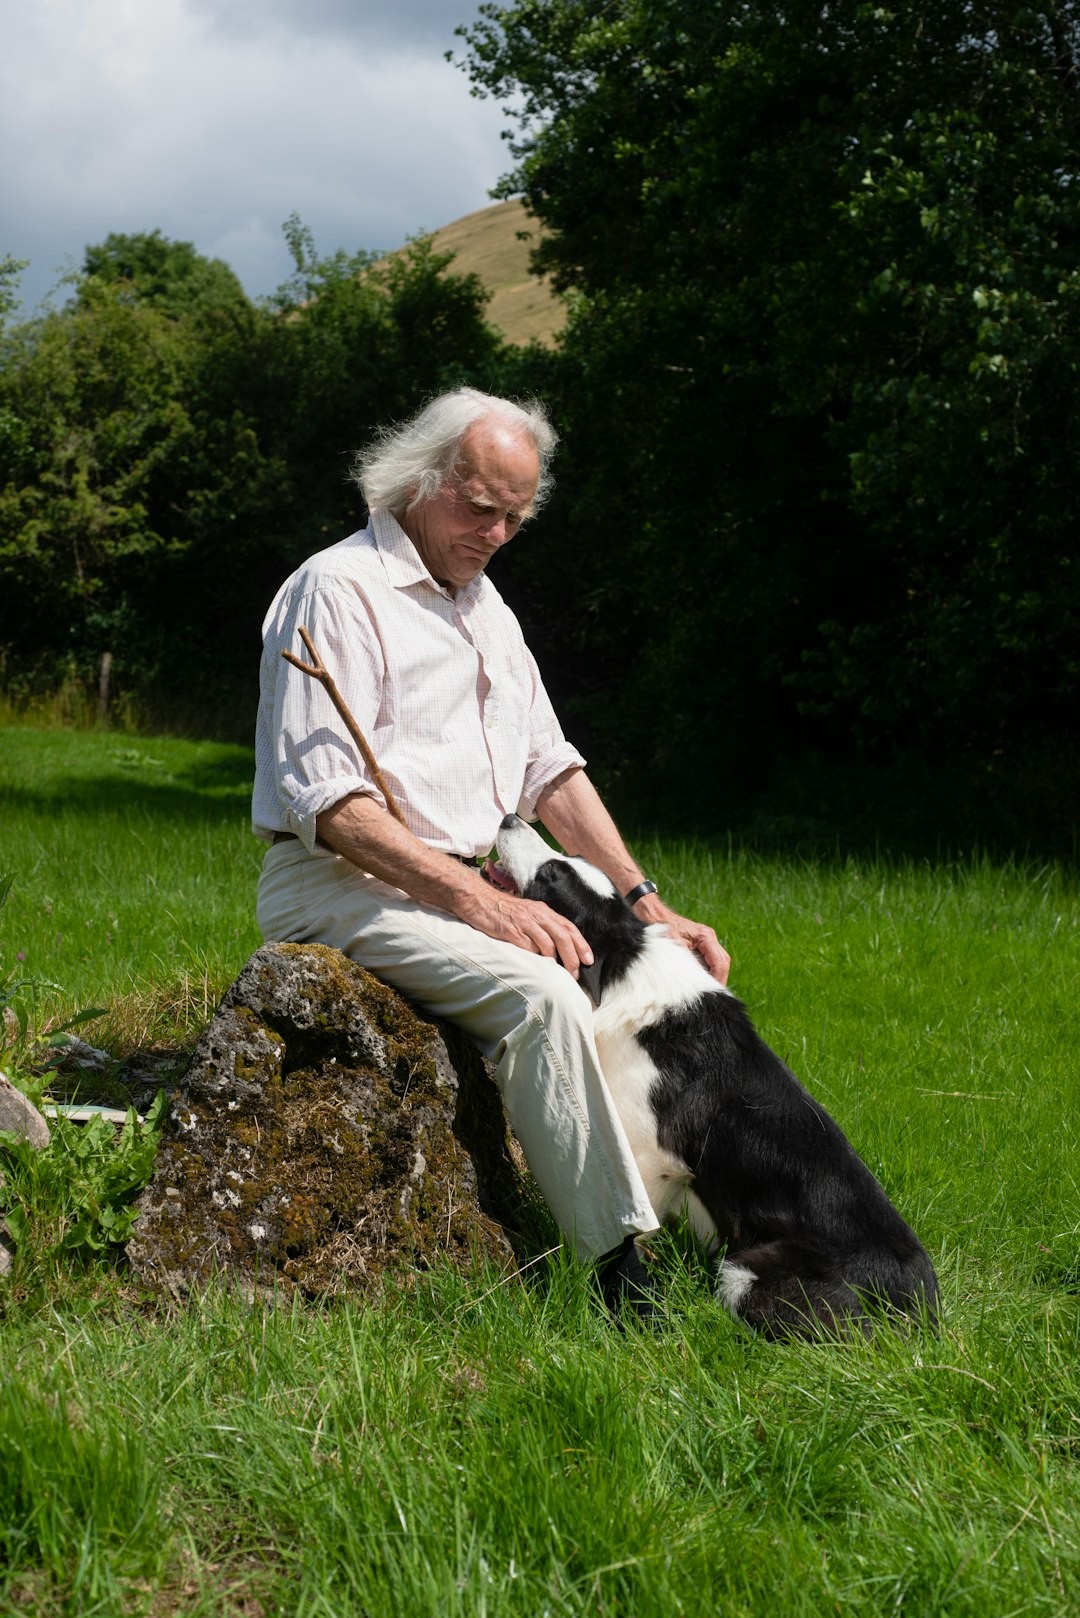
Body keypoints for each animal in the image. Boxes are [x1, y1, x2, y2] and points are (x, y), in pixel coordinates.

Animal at [492, 815, 939, 1333]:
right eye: (568, 862)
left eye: (551, 874)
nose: (510, 817)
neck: (623, 964)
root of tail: (922, 1309)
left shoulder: (645, 1152)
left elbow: (630, 1226)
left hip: (746, 1274)